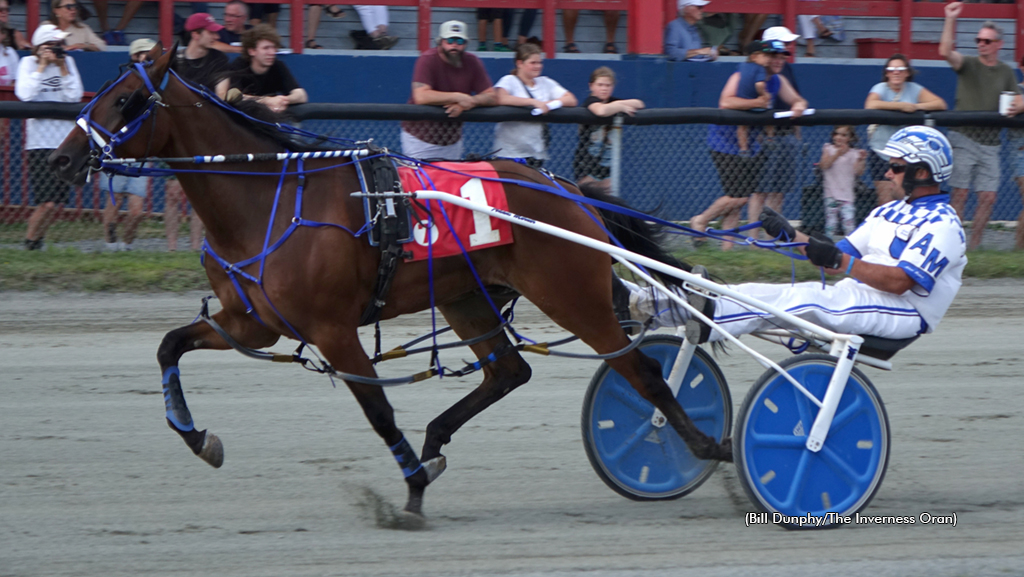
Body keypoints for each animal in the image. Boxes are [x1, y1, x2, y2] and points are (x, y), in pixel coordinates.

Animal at [51, 46, 733, 518]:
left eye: (123, 101)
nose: (61, 158)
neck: (266, 199)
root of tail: (564, 186)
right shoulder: (254, 322)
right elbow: (170, 346)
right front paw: (200, 440)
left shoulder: (333, 329)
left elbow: (377, 411)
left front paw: (410, 489)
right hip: (468, 297)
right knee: (509, 371)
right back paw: (435, 440)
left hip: (572, 296)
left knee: (641, 372)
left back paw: (710, 448)